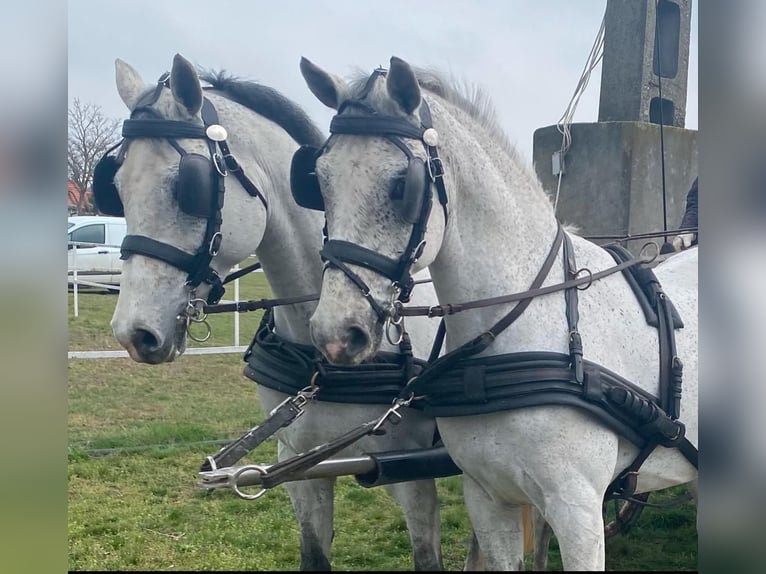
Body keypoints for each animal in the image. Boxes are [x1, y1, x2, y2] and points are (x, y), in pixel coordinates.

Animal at [104, 53, 448, 572]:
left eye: (188, 186)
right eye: (116, 186)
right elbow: (313, 555)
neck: (321, 358)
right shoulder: (301, 464)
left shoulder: (413, 473)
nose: (133, 332)